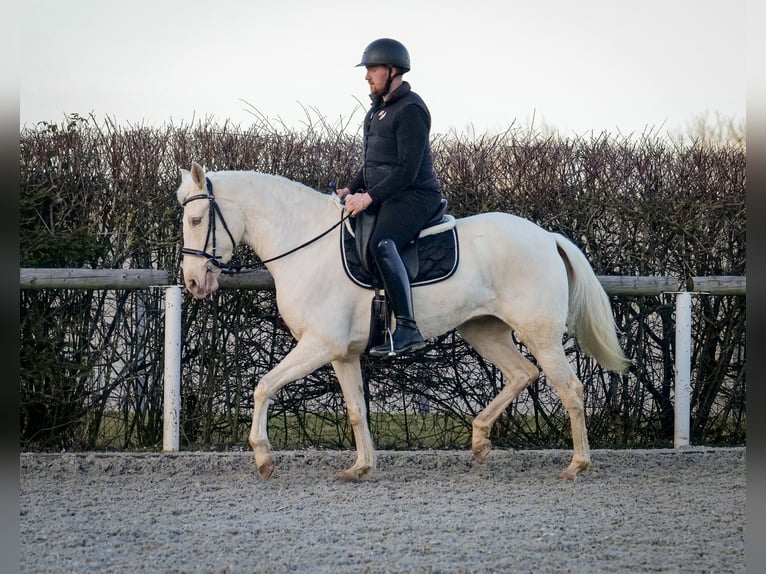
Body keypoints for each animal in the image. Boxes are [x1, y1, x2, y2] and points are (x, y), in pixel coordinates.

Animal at [178, 161, 632, 482]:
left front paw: (263, 457)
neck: (305, 246)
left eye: (196, 221)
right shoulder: (341, 353)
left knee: (570, 389)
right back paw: (480, 440)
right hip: (483, 329)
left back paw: (576, 465)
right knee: (522, 373)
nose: (194, 282)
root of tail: (547, 237)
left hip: (541, 335)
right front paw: (361, 467)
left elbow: (263, 386)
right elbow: (356, 408)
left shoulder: (318, 345)